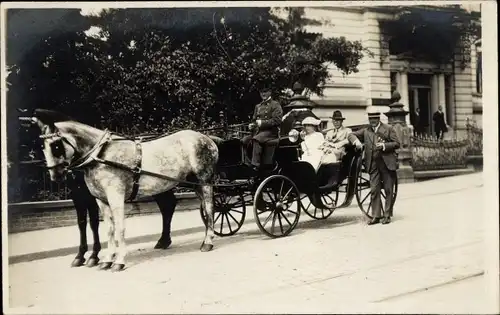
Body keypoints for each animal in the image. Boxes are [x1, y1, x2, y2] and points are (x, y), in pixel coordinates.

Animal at [21, 110, 218, 272]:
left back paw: (208, 242)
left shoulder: (115, 196)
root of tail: (207, 138)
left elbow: (119, 227)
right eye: (42, 146)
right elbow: (108, 229)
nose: (55, 175)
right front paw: (106, 260)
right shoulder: (101, 200)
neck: (100, 155)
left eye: (55, 145)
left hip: (204, 181)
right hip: (193, 183)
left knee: (209, 208)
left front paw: (119, 261)